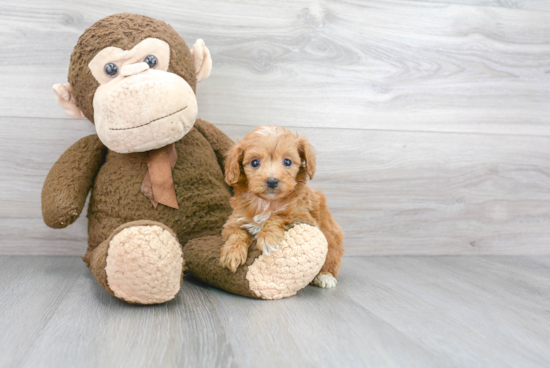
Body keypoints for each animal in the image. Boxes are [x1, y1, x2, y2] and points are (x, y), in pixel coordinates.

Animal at [220, 125, 344, 288]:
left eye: (287, 162)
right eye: (255, 163)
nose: (272, 181)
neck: (267, 202)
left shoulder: (302, 215)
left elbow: (277, 215)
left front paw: (268, 237)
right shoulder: (234, 221)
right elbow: (237, 233)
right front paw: (232, 252)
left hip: (332, 240)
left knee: (331, 260)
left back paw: (325, 276)